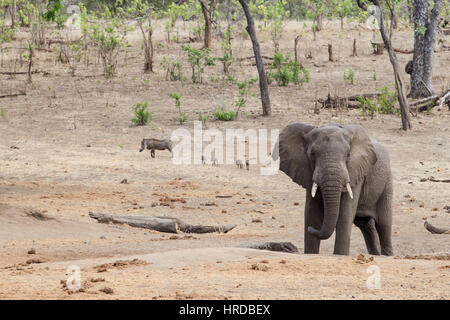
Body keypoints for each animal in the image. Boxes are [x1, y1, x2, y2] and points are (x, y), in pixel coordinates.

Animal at [272, 123, 392, 258]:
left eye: (348, 155)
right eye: (312, 153)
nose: (310, 229)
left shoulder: (355, 171)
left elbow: (345, 215)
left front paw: (340, 255)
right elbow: (312, 213)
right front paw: (311, 253)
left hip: (387, 182)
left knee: (384, 225)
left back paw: (388, 256)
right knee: (366, 225)